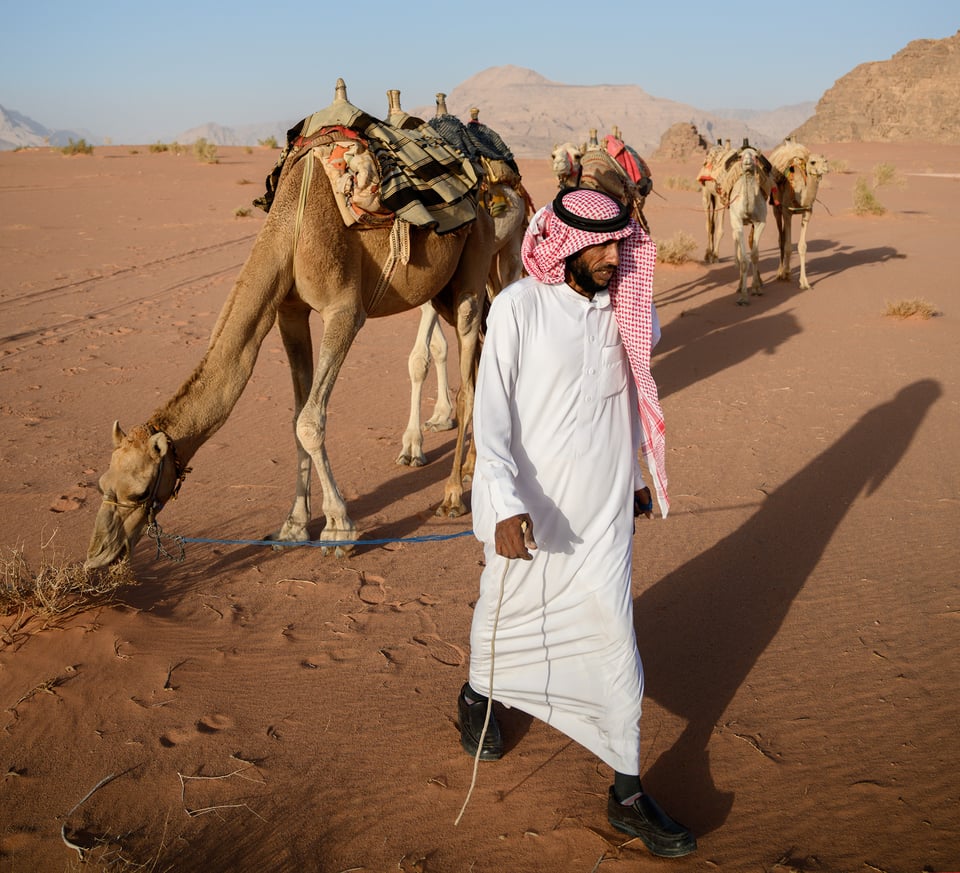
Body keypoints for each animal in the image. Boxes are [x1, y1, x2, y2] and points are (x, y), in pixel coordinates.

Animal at [86, 82, 498, 568]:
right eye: (101, 485)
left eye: (140, 490)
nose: (99, 553)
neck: (292, 225)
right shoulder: (288, 313)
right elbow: (296, 419)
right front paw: (293, 527)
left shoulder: (344, 311)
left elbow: (310, 421)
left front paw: (339, 528)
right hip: (441, 291)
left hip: (473, 270)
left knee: (470, 381)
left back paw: (453, 495)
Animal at [768, 138, 828, 292]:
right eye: (812, 162)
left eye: (825, 160)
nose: (826, 167)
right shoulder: (787, 212)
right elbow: (788, 245)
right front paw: (786, 273)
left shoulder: (807, 213)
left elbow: (802, 247)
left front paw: (804, 282)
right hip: (777, 209)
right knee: (781, 239)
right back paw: (781, 272)